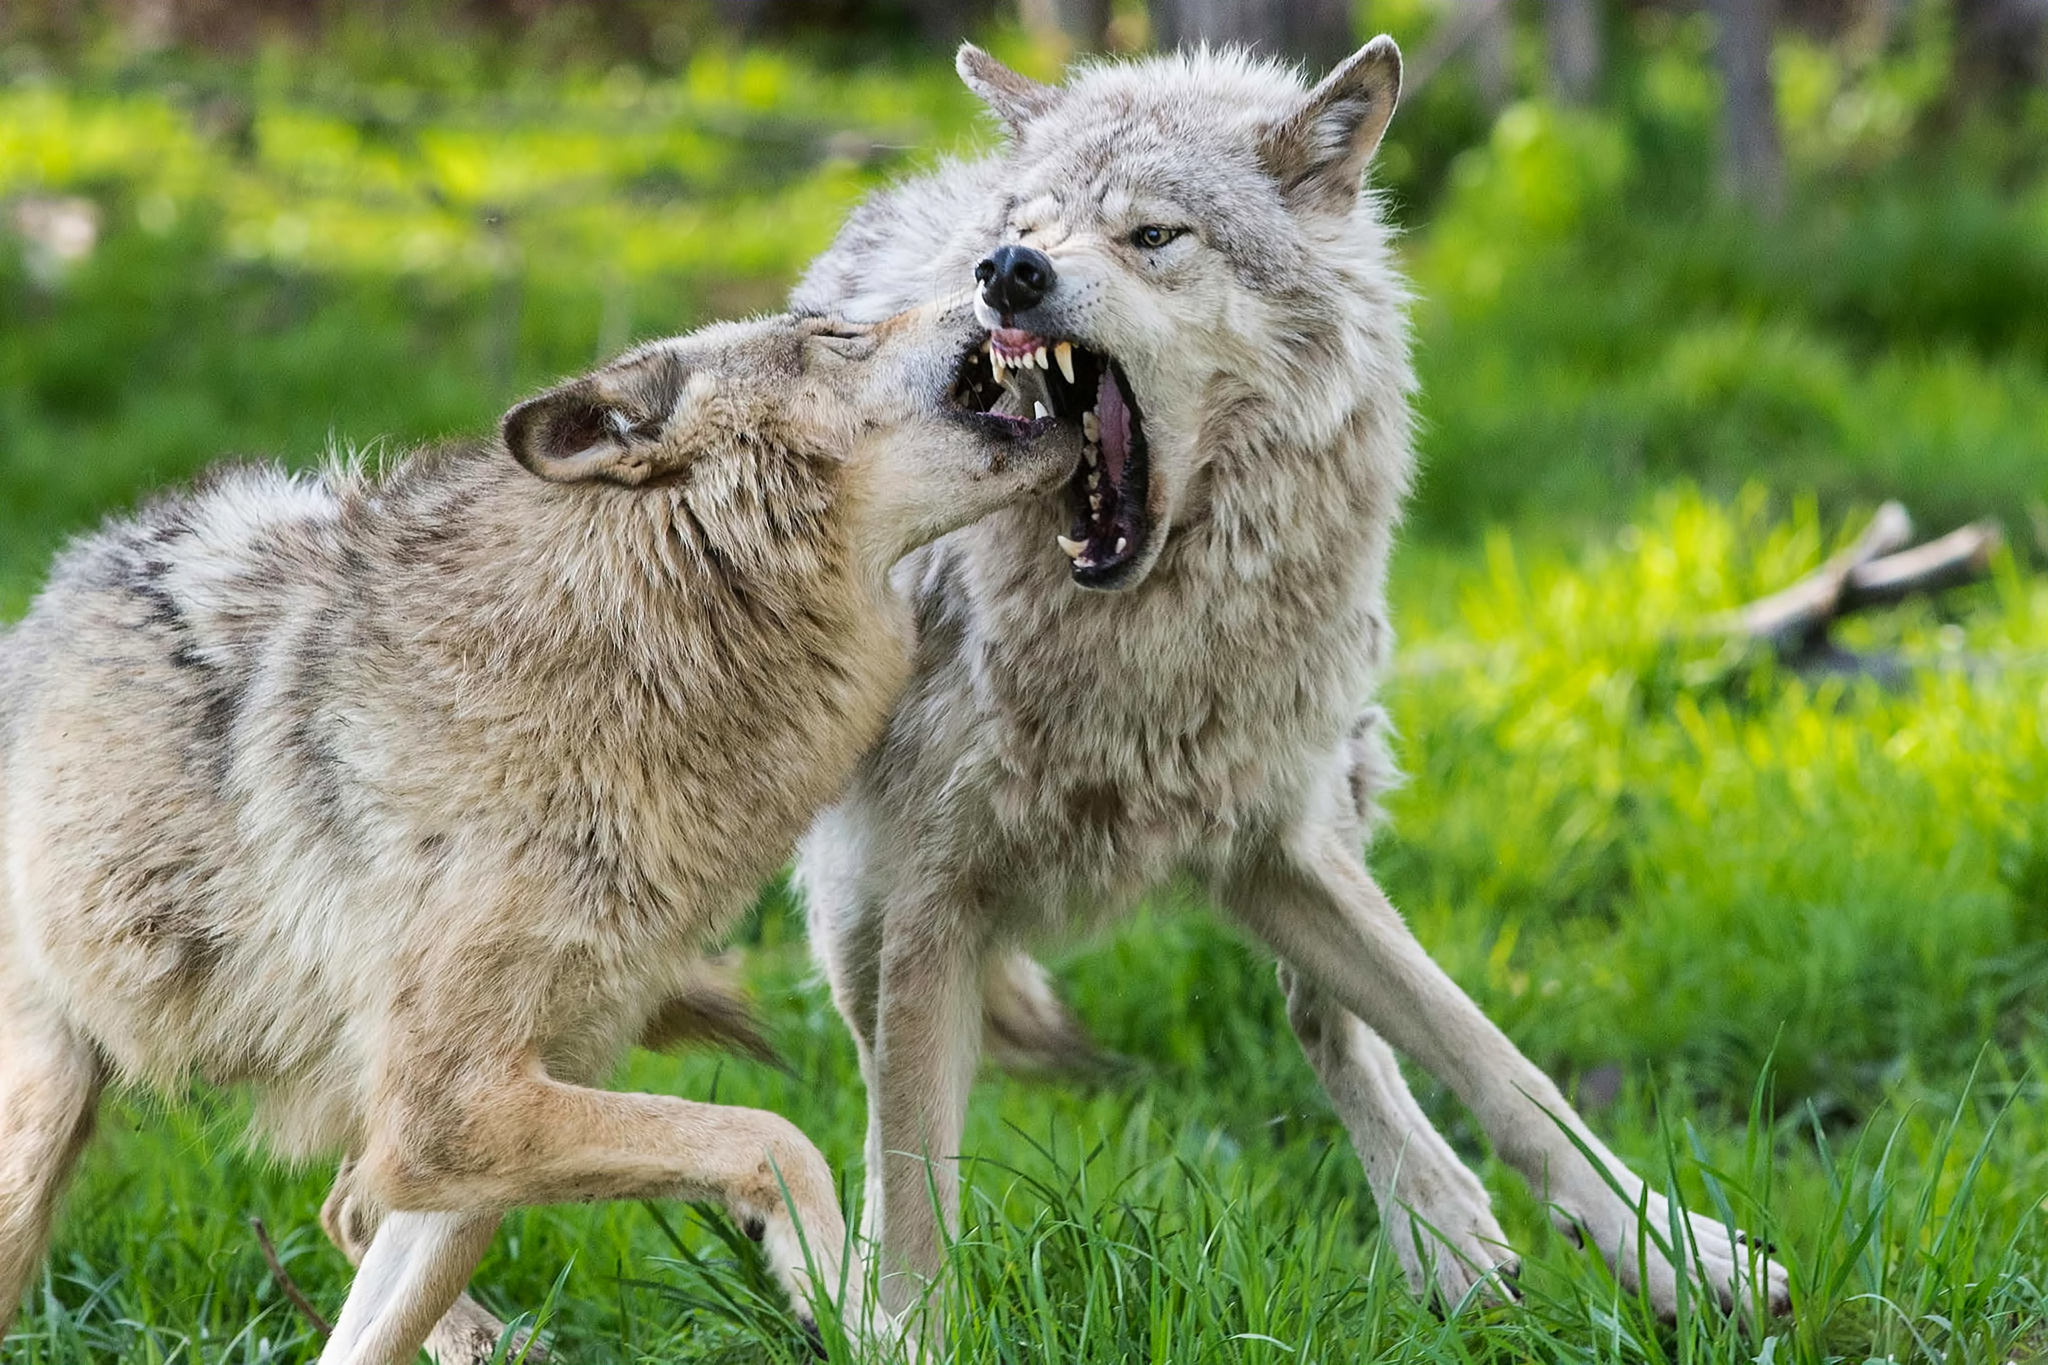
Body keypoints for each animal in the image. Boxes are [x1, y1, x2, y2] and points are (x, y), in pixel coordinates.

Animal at [0, 300, 1081, 1365]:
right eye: (834, 334)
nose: (996, 279)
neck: (618, 653)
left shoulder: (483, 1123)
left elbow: (370, 1331)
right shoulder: (449, 1116)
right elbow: (780, 1138)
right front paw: (849, 1310)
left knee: (349, 1213)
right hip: (37, 1139)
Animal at [790, 34, 1785, 1334]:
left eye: (1151, 234)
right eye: (1027, 226)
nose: (1001, 272)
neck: (1139, 648)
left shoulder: (1279, 843)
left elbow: (1498, 1062)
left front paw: (1673, 1251)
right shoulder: (926, 897)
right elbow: (911, 1179)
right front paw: (898, 1325)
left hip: (1319, 795)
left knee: (1326, 1019)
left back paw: (1442, 1233)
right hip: (850, 906)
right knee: (871, 1089)